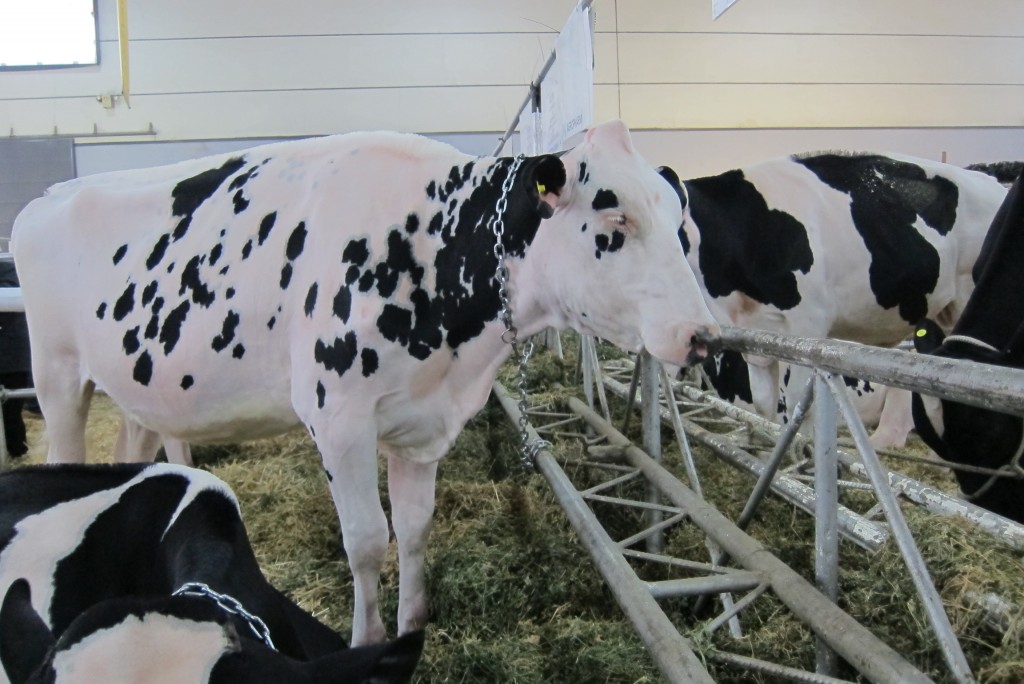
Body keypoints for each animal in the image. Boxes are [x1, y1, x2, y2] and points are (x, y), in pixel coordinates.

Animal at [9, 120, 720, 643]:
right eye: (615, 223)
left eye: (680, 224)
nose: (702, 335)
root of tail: (43, 200)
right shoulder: (339, 416)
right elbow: (367, 540)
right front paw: (368, 640)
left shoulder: (426, 422)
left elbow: (414, 526)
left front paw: (412, 627)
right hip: (58, 374)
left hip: (134, 388)